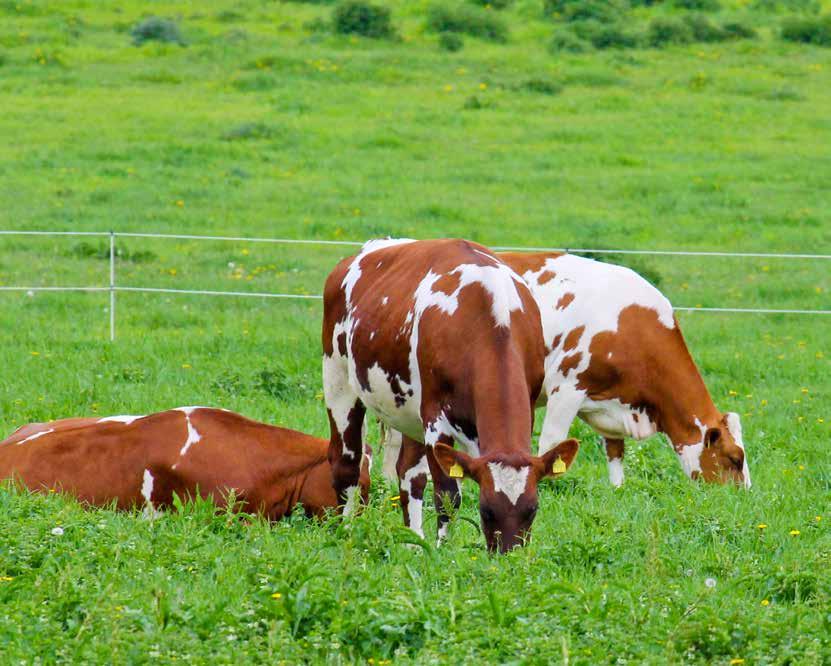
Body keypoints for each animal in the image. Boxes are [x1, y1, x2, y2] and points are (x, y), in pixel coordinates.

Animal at [324, 237, 580, 548]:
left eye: (532, 510)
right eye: (486, 510)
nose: (509, 555)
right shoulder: (436, 419)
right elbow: (447, 495)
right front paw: (442, 550)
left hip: (409, 411)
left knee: (409, 474)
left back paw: (413, 541)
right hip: (337, 379)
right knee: (347, 462)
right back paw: (345, 532)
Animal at [494, 250, 752, 488]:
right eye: (735, 458)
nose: (744, 495)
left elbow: (615, 452)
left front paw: (617, 489)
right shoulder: (567, 387)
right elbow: (552, 443)